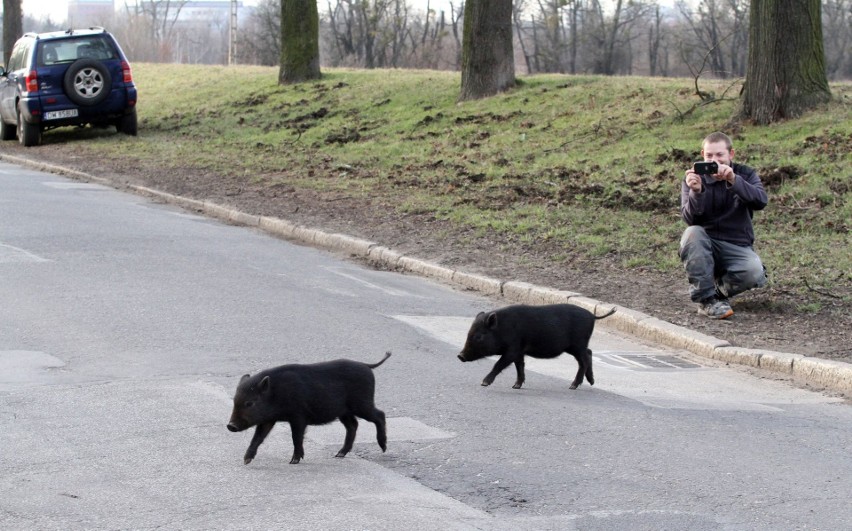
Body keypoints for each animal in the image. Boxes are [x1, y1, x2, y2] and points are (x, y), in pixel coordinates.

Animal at [223, 354, 390, 466]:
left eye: (249, 403)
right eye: (235, 401)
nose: (230, 426)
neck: (276, 394)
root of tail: (367, 365)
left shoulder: (298, 416)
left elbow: (296, 436)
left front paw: (293, 461)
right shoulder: (269, 419)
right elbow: (258, 437)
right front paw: (246, 461)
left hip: (362, 404)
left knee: (380, 415)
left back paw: (383, 448)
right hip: (344, 412)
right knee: (353, 425)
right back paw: (339, 454)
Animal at [460, 304, 612, 390]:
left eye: (479, 336)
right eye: (468, 333)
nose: (460, 356)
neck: (503, 329)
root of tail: (592, 315)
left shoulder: (513, 349)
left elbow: (499, 364)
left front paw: (484, 383)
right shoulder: (519, 352)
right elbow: (520, 366)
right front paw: (516, 386)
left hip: (578, 344)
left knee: (584, 360)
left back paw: (573, 386)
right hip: (574, 347)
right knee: (589, 353)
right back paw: (590, 382)